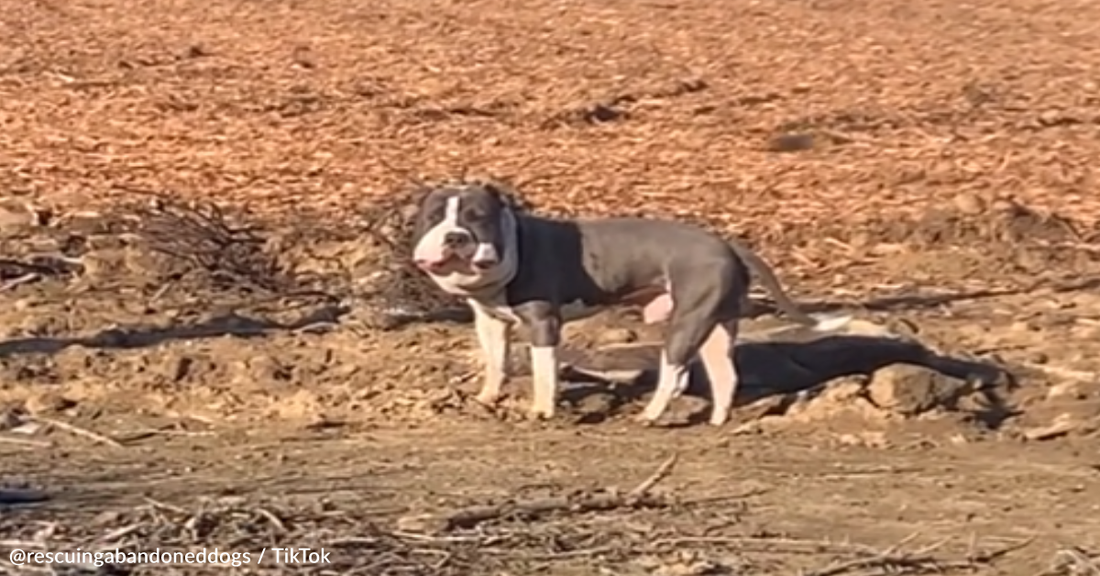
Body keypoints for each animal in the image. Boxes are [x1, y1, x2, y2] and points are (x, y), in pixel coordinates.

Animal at [413, 182, 849, 424]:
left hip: (686, 323)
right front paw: (487, 398)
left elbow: (543, 372)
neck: (513, 244)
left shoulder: (543, 323)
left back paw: (651, 415)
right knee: (725, 374)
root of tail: (728, 244)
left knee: (673, 371)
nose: (455, 237)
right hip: (716, 324)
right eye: (435, 217)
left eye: (478, 217)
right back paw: (717, 420)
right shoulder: (489, 321)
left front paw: (542, 410)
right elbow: (496, 362)